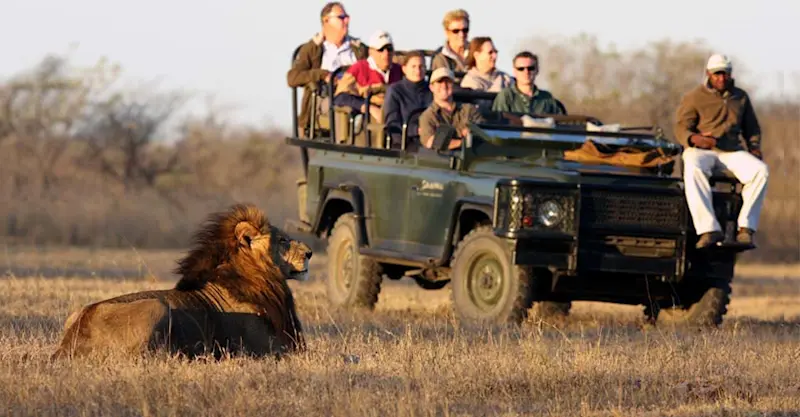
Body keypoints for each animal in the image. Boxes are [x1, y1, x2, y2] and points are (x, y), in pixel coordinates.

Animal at [51, 203, 312, 360]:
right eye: (283, 240)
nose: (309, 253)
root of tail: (70, 343)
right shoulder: (269, 349)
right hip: (155, 307)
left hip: (73, 314)